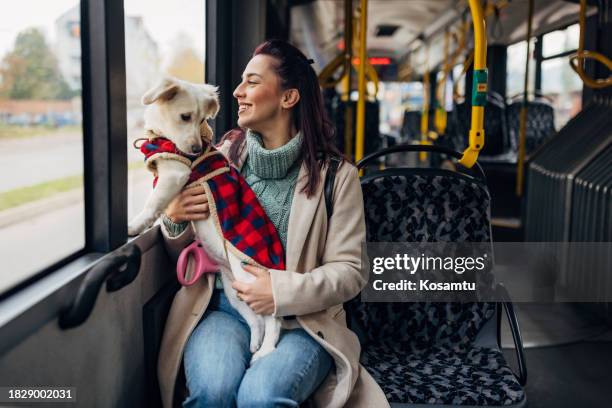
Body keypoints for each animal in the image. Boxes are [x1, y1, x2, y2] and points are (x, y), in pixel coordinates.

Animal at [130, 77, 284, 364]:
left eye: (202, 118)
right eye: (185, 116)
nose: (195, 150)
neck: (163, 138)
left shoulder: (175, 173)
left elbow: (153, 203)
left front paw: (135, 224)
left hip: (253, 281)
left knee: (274, 318)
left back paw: (267, 350)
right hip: (236, 291)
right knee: (255, 320)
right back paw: (255, 342)